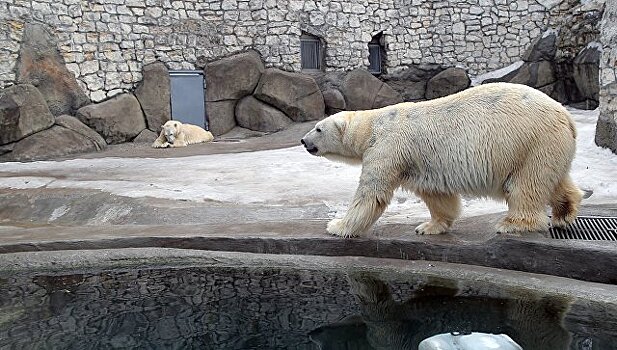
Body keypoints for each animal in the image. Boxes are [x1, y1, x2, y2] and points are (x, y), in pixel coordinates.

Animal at [302, 82, 584, 238]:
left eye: (318, 128)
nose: (304, 141)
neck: (373, 126)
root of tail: (567, 117)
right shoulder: (421, 163)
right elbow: (437, 195)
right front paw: (428, 226)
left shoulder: (388, 148)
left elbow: (372, 194)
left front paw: (337, 226)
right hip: (547, 146)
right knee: (554, 179)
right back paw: (564, 213)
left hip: (530, 142)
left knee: (525, 185)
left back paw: (512, 224)